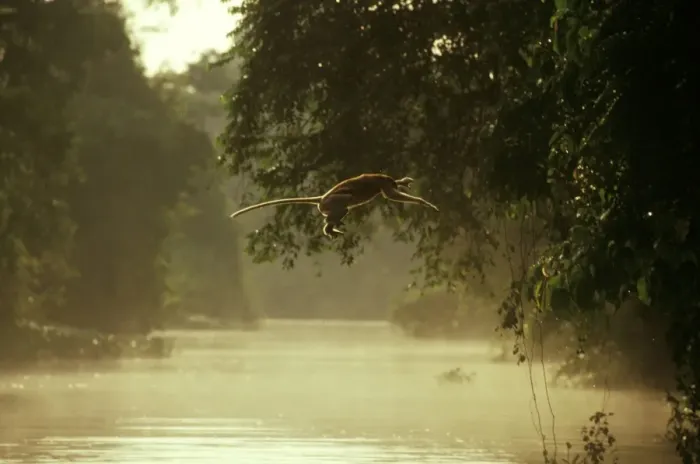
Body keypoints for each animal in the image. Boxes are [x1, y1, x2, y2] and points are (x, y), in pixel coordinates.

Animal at [229, 173, 440, 238]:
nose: (395, 183)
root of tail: (322, 198)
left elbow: (393, 194)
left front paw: (404, 182)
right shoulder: (383, 184)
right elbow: (391, 195)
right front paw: (423, 202)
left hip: (328, 204)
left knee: (341, 209)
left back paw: (332, 227)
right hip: (332, 201)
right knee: (344, 202)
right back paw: (331, 226)